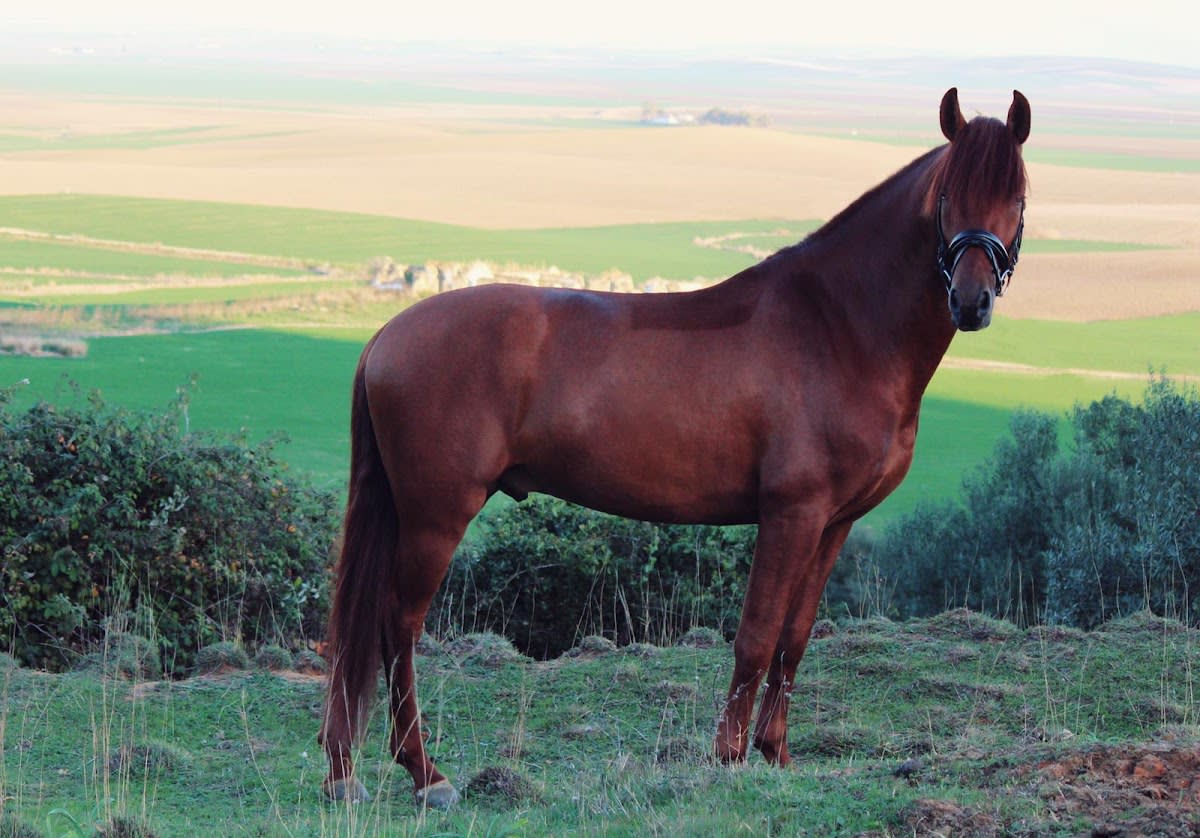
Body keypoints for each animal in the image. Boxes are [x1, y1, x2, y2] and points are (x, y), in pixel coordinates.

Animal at [318, 87, 1031, 807]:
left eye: (1019, 195)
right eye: (948, 195)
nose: (971, 301)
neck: (839, 328)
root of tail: (386, 337)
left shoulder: (834, 524)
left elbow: (795, 638)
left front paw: (776, 753)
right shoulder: (790, 514)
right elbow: (755, 637)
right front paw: (729, 755)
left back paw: (346, 770)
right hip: (437, 514)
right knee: (397, 624)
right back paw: (423, 773)